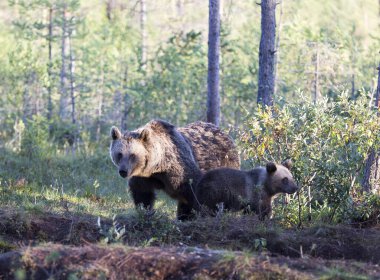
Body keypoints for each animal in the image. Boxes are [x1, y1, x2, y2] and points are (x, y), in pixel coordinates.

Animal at [110, 119, 240, 220]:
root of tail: (224, 132)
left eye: (132, 155)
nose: (123, 171)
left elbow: (195, 193)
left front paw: (201, 215)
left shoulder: (181, 171)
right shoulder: (143, 176)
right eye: (119, 154)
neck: (158, 166)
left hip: (225, 163)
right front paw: (145, 211)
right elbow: (142, 193)